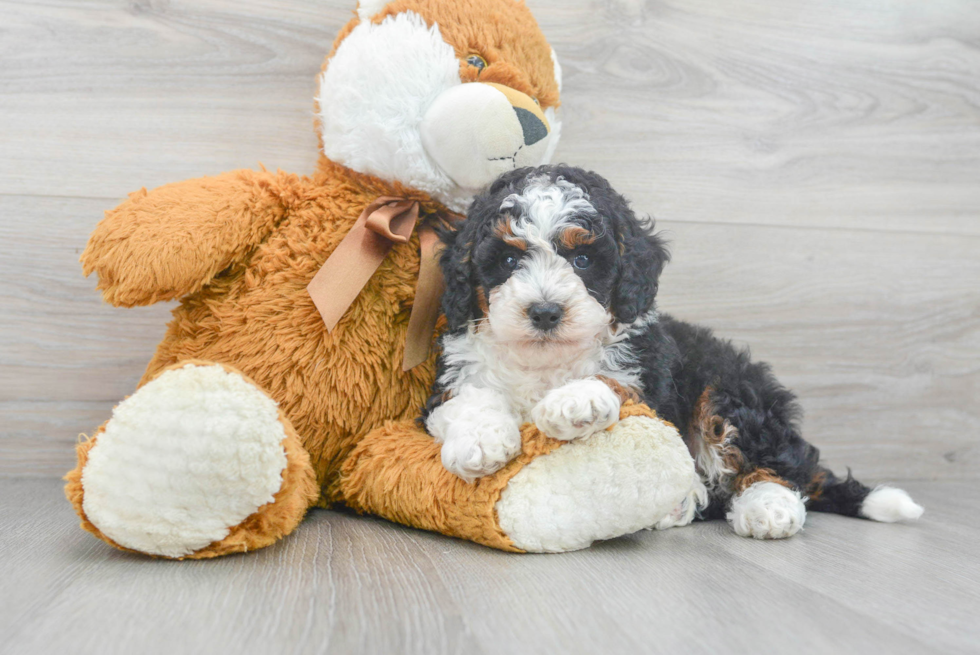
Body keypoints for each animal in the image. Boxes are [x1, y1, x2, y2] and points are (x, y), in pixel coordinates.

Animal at [424, 164, 928, 540]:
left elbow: (615, 381)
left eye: (582, 261)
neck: (546, 358)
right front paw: (481, 441)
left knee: (779, 461)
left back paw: (768, 508)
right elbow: (468, 398)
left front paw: (575, 401)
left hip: (729, 387)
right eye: (508, 260)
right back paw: (681, 505)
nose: (545, 312)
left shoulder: (649, 376)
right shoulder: (449, 380)